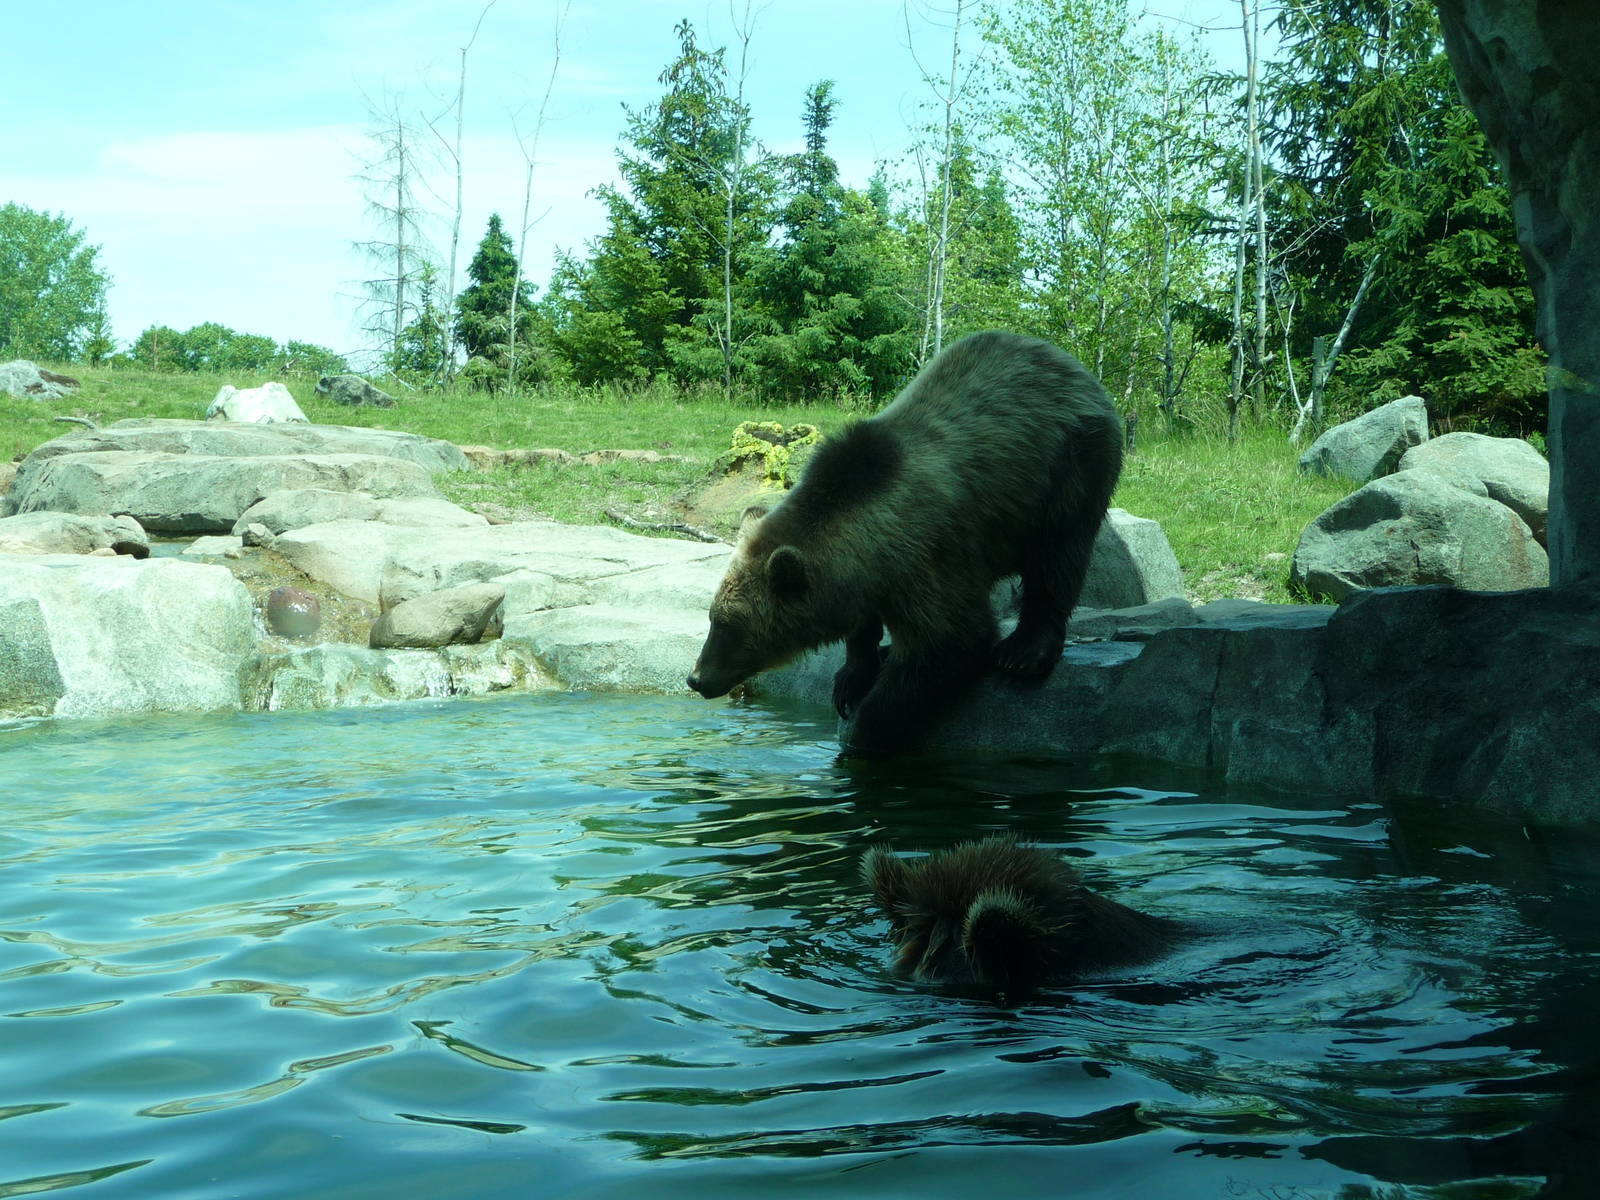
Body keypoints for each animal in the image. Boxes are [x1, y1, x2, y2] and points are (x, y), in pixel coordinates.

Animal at [685, 330, 1123, 755]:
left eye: (729, 625)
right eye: (713, 617)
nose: (697, 678)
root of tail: (1068, 363)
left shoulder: (928, 557)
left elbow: (950, 641)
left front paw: (865, 731)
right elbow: (863, 627)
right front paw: (852, 677)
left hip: (1068, 468)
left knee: (1059, 556)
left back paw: (1024, 652)